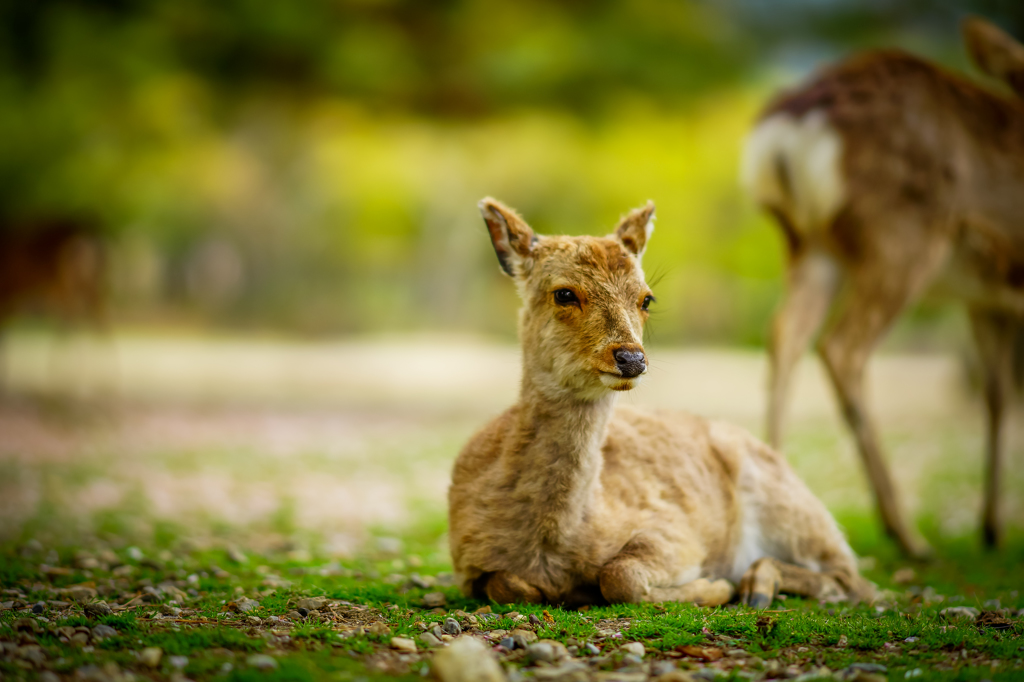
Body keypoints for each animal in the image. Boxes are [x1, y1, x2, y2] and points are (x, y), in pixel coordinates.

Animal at [448, 196, 872, 606]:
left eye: (647, 299)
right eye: (564, 293)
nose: (631, 358)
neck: (551, 548)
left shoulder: (673, 531)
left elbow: (620, 576)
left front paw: (714, 587)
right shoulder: (467, 564)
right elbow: (504, 584)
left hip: (792, 507)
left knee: (853, 579)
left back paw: (756, 589)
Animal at [741, 17, 1024, 557]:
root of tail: (792, 131)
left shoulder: (985, 296)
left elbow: (998, 392)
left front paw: (993, 527)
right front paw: (994, 527)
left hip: (808, 246)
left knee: (783, 336)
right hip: (901, 237)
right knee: (842, 346)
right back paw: (907, 534)